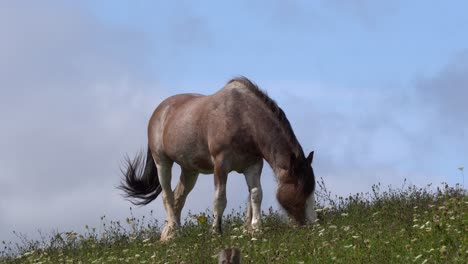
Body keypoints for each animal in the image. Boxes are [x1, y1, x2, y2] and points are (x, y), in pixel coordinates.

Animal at [119, 77, 316, 241]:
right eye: (301, 190)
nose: (312, 225)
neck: (243, 118)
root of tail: (159, 111)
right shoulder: (221, 165)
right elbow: (220, 199)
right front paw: (216, 232)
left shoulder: (253, 165)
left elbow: (256, 194)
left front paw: (254, 228)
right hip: (162, 162)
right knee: (167, 195)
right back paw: (175, 230)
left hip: (190, 171)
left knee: (178, 197)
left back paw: (168, 235)